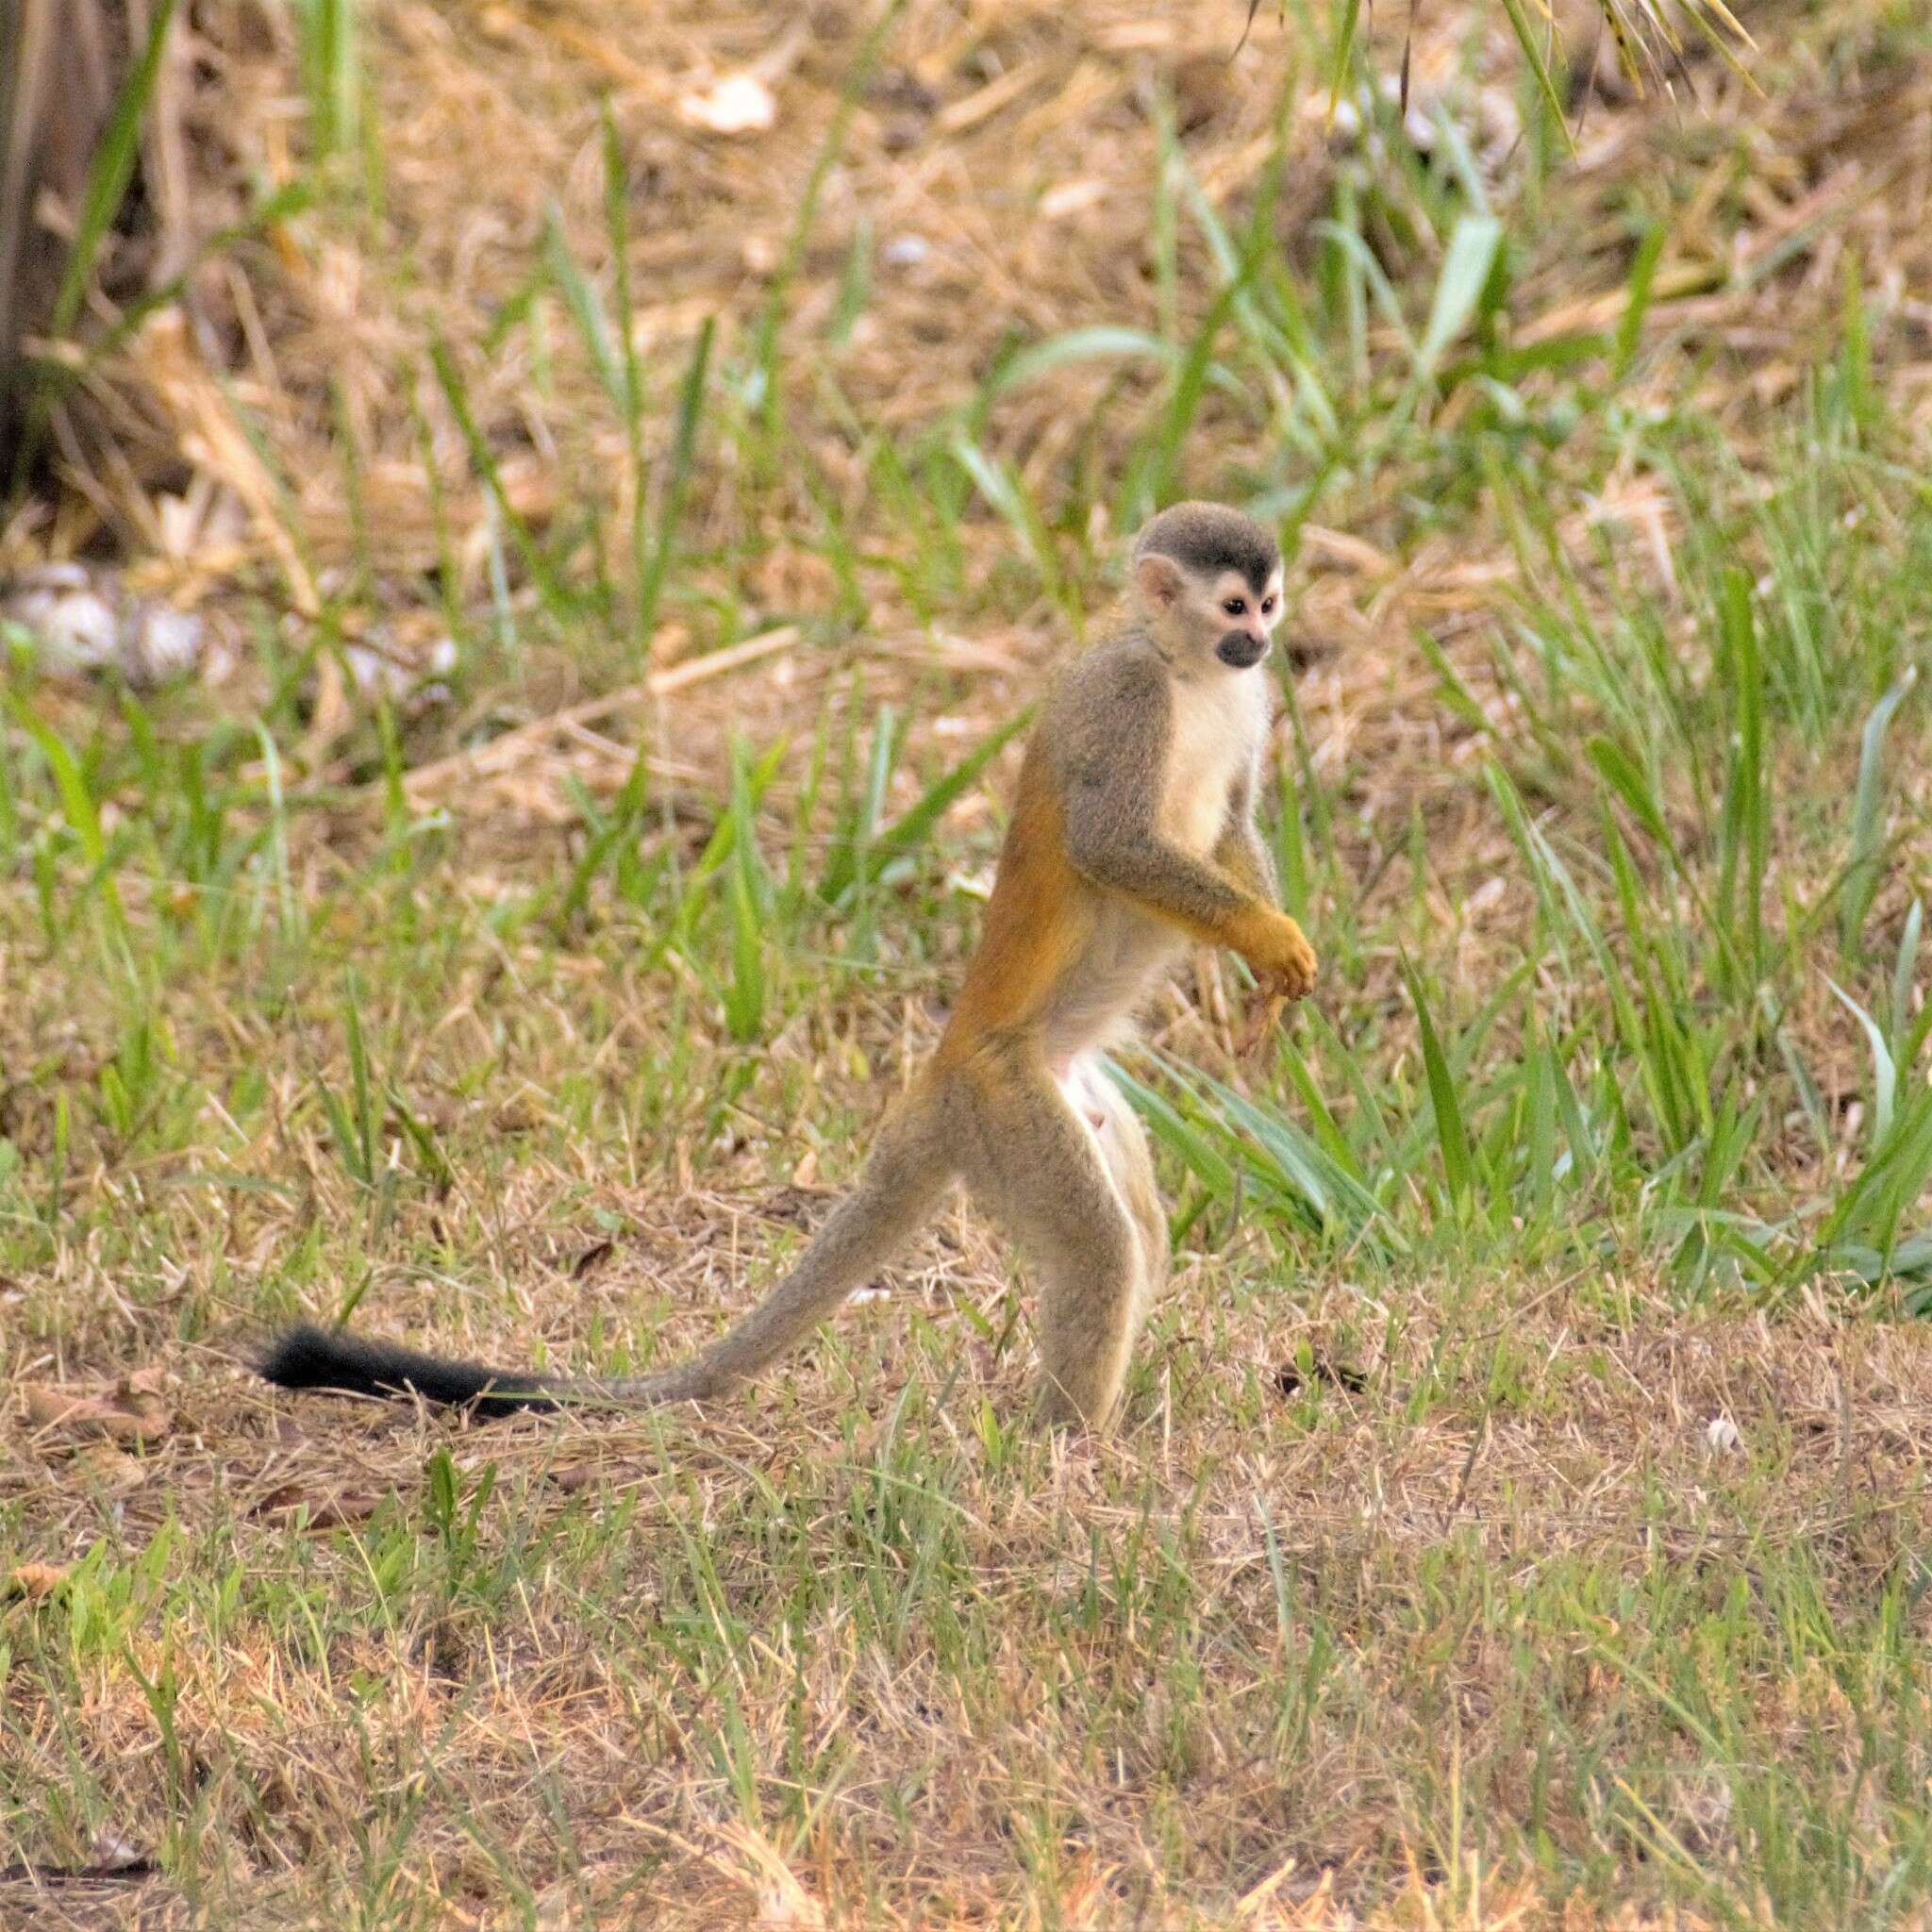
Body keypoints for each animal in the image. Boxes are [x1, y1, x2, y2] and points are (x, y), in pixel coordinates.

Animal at [264, 506, 1321, 1429]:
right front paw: (1267, 941)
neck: (1184, 668)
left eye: (1268, 606)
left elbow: (1228, 822)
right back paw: (1068, 1448)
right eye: (1234, 607)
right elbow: (1110, 841)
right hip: (1003, 1103)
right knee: (1102, 1251)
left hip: (1062, 1097)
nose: (1261, 642)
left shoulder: (1245, 700)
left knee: (1135, 1232)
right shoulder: (1123, 696)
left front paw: (1272, 964)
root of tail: (941, 1069)